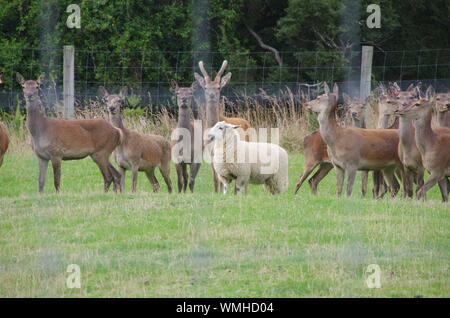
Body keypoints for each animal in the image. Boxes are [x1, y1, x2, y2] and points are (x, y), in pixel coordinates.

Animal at [192, 60, 250, 193]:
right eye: (206, 87)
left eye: (218, 87)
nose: (212, 95)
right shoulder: (210, 154)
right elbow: (215, 178)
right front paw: (216, 192)